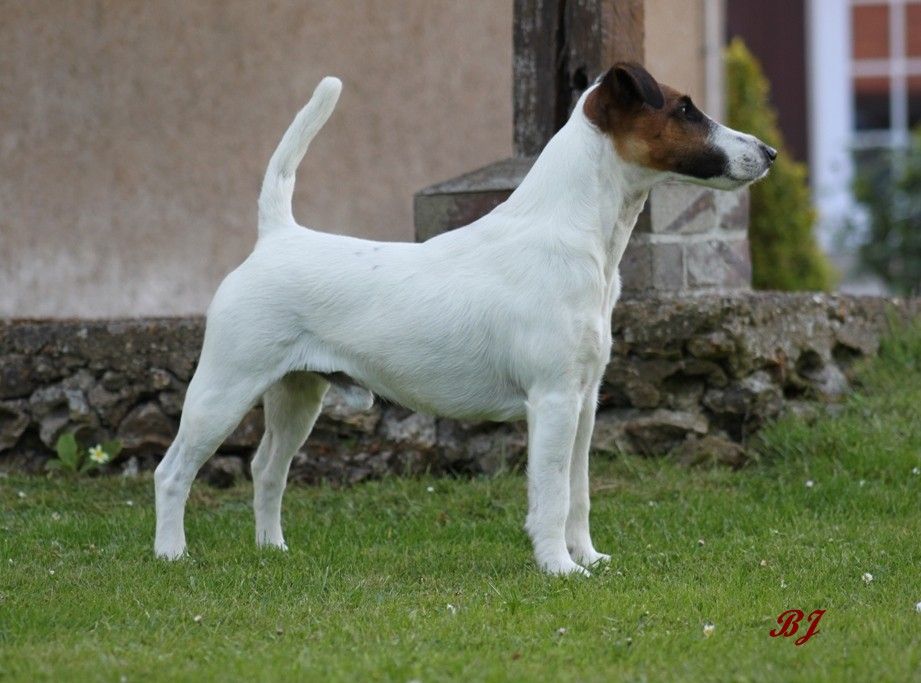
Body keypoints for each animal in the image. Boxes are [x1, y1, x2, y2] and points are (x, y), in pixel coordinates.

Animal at [155, 61, 772, 576]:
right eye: (685, 109)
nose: (767, 151)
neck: (575, 233)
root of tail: (277, 236)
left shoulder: (585, 400)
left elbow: (579, 493)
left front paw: (589, 558)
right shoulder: (553, 401)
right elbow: (552, 495)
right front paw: (559, 568)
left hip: (298, 395)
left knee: (266, 469)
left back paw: (273, 550)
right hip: (224, 390)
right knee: (173, 471)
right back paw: (172, 555)